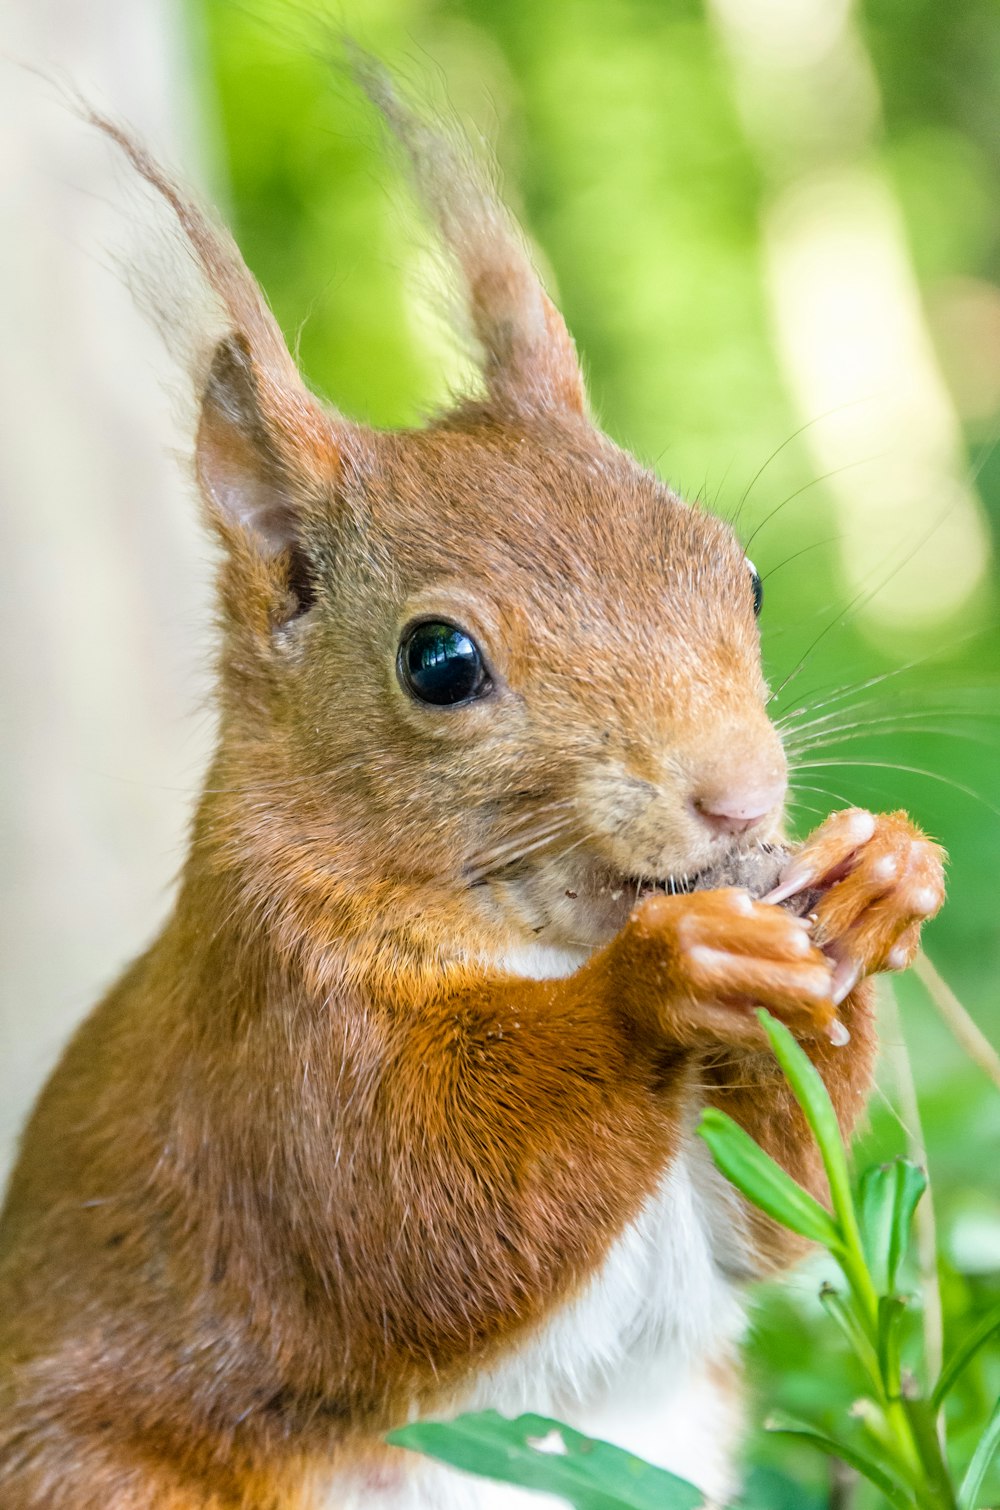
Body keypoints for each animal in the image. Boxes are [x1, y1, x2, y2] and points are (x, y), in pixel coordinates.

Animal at [0, 58, 948, 1510]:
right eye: (438, 661)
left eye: (740, 573)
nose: (736, 798)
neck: (539, 939)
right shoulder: (275, 1040)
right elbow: (421, 1210)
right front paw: (670, 971)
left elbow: (778, 1204)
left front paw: (881, 881)